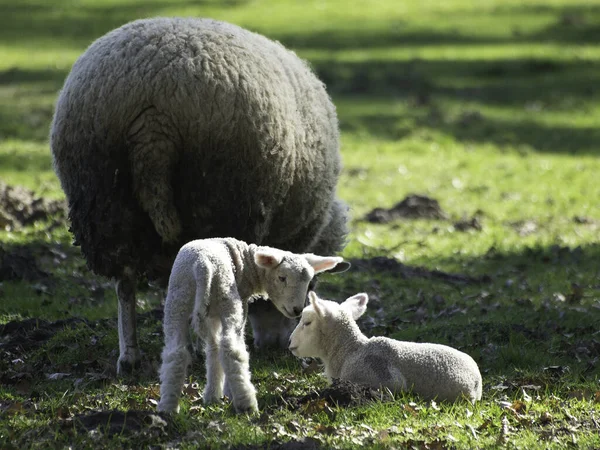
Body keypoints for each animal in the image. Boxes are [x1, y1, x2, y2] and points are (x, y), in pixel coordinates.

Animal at [49, 16, 350, 376]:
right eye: (309, 286)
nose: (277, 345)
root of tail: (153, 118)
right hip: (217, 198)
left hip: (104, 203)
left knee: (126, 282)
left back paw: (131, 357)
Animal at [158, 237, 346, 414]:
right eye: (282, 278)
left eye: (308, 282)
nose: (297, 310)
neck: (247, 264)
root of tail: (202, 267)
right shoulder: (240, 303)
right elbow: (220, 349)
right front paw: (227, 394)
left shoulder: (212, 316)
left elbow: (212, 351)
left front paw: (212, 396)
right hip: (227, 298)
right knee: (231, 349)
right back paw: (246, 403)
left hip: (178, 299)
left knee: (176, 353)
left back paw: (167, 408)